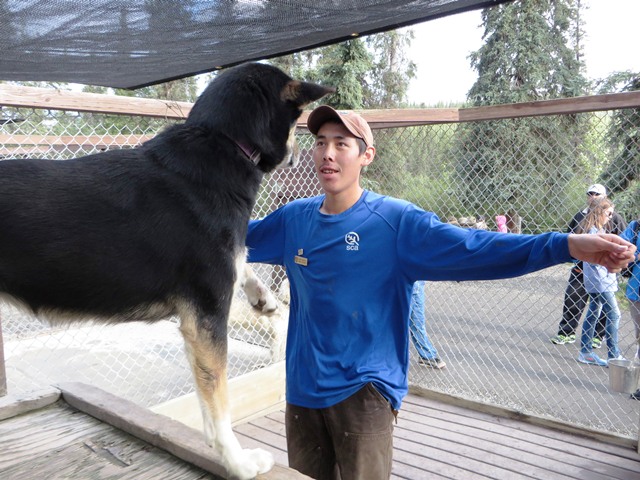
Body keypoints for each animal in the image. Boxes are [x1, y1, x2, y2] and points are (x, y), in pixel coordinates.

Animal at [0, 63, 332, 480]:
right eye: (297, 120)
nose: (300, 154)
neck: (222, 141)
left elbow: (243, 261)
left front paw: (264, 295)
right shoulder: (206, 320)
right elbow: (219, 406)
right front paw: (237, 462)